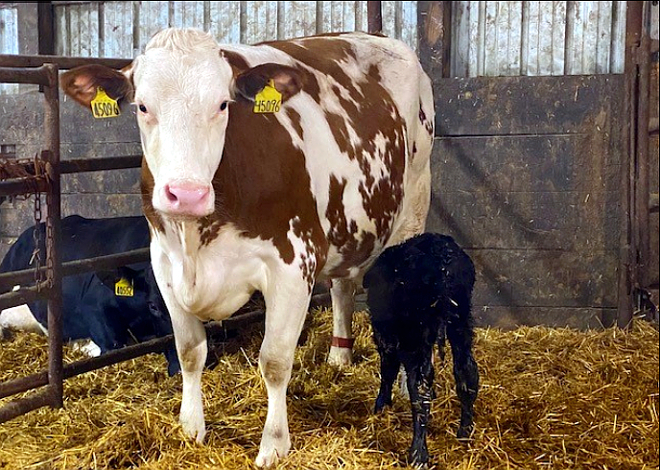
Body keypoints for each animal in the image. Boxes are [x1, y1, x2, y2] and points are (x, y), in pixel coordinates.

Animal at [60, 28, 434, 467]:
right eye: (142, 106)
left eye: (223, 104)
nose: (186, 194)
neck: (196, 241)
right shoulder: (164, 266)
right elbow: (189, 351)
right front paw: (191, 428)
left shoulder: (294, 263)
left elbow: (274, 361)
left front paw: (273, 445)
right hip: (346, 228)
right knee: (343, 287)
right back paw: (339, 357)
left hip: (413, 209)